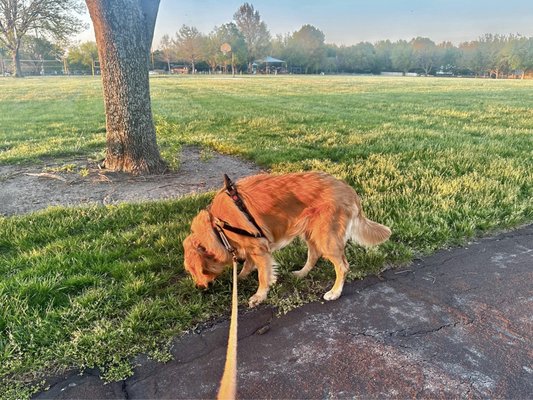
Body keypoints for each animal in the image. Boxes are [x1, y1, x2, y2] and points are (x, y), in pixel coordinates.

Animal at [183, 171, 390, 306]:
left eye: (200, 271)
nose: (199, 288)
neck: (217, 226)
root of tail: (348, 189)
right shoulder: (252, 246)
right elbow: (248, 263)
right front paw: (240, 276)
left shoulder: (260, 248)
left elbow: (263, 275)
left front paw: (259, 296)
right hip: (311, 233)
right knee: (314, 254)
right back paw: (301, 273)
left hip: (326, 237)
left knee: (342, 266)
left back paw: (334, 292)